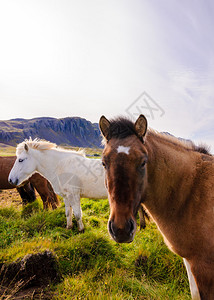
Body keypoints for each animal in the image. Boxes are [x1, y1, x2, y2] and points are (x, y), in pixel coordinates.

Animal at [99, 115, 214, 300]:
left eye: (143, 162)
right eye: (104, 163)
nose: (121, 229)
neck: (192, 192)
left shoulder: (204, 266)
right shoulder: (191, 262)